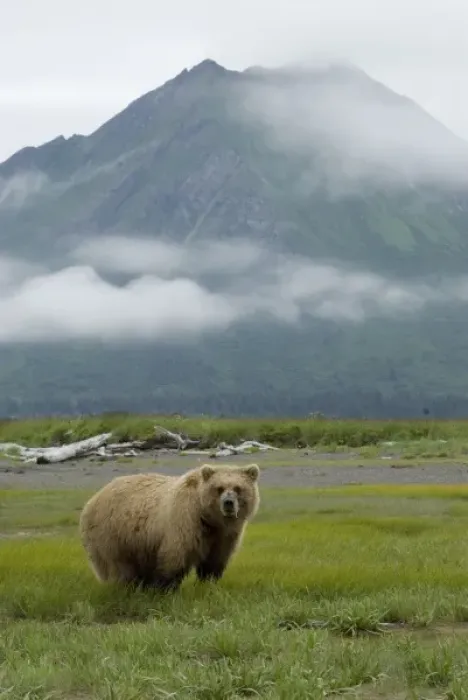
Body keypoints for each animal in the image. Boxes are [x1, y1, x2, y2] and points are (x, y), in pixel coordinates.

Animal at [79, 462, 260, 592]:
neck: (209, 519)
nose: (228, 503)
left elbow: (215, 561)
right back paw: (126, 585)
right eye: (219, 488)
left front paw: (207, 583)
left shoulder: (224, 536)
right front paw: (165, 588)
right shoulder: (184, 522)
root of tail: (93, 499)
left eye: (238, 488)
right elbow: (174, 557)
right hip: (113, 534)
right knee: (118, 566)